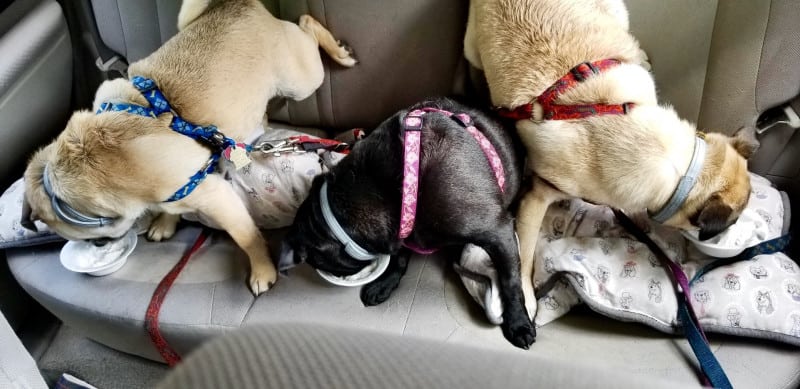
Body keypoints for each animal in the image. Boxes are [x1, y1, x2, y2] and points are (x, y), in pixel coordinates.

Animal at [19, 0, 356, 294]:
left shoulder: (216, 196)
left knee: (307, 24)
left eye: (98, 241)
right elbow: (170, 206)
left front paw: (262, 269)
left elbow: (246, 237)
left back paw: (340, 54)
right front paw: (166, 221)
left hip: (301, 80)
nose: (100, 245)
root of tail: (235, 4)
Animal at [278, 97, 536, 348]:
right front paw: (385, 283)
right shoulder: (403, 226)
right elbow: (400, 258)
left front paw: (518, 322)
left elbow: (510, 281)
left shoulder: (499, 233)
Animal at [466, 0, 760, 316]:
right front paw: (525, 296)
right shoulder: (537, 197)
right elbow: (525, 252)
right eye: (732, 221)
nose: (733, 228)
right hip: (471, 49)